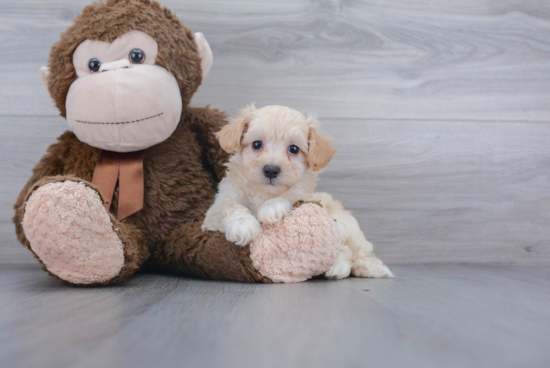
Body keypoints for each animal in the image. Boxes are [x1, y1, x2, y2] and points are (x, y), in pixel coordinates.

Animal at [205, 104, 394, 278]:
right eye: (257, 144)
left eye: (294, 149)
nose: (271, 170)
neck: (265, 193)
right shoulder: (216, 210)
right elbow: (229, 206)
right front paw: (242, 224)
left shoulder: (302, 195)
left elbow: (289, 196)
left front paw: (271, 208)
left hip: (341, 225)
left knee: (345, 253)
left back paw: (337, 268)